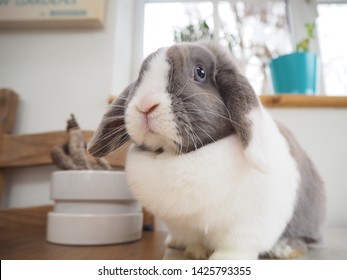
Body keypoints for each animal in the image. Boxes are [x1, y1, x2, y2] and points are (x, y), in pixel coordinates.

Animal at [87, 41, 326, 260]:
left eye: (200, 72)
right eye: (140, 77)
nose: (145, 105)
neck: (177, 156)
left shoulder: (247, 224)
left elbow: (236, 245)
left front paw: (223, 259)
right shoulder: (182, 224)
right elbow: (194, 241)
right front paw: (196, 252)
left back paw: (284, 249)